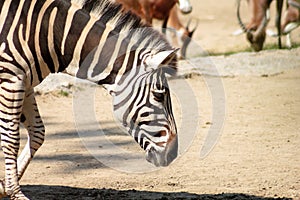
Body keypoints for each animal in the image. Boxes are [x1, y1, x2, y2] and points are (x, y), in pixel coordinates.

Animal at [0, 0, 178, 198]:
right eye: (159, 95)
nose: (173, 154)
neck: (49, 33)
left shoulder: (26, 83)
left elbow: (38, 132)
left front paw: (3, 187)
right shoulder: (11, 79)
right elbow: (11, 139)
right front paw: (16, 193)